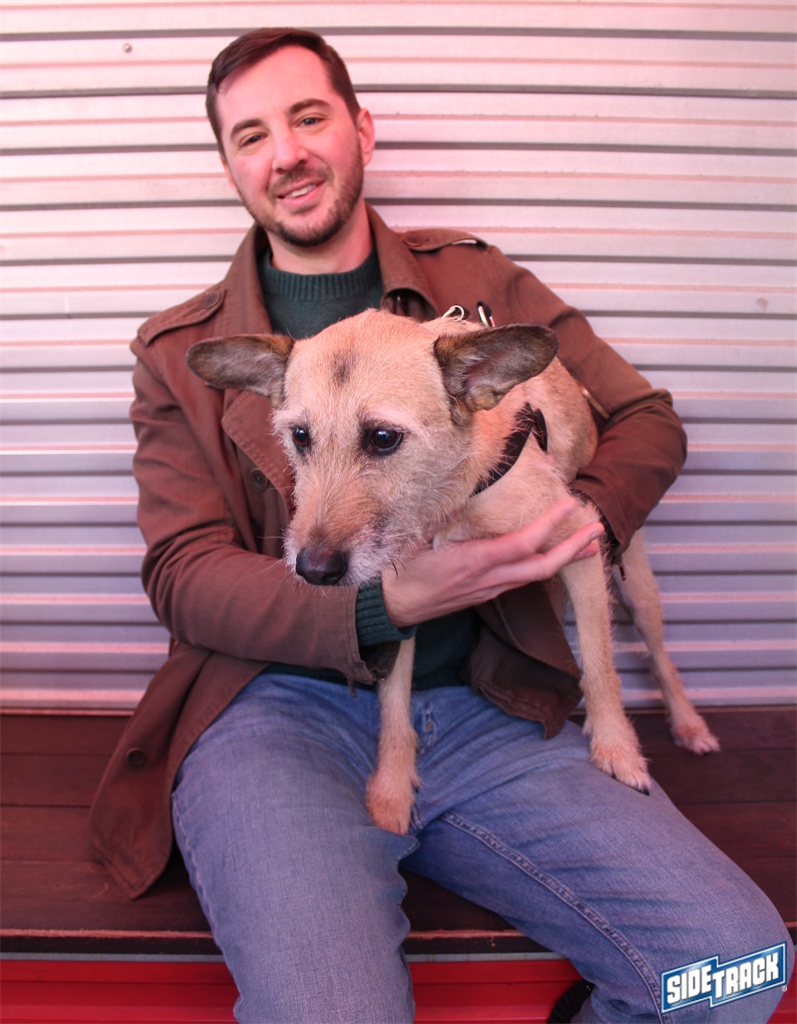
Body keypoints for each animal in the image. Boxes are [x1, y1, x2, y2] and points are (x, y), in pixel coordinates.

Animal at [187, 307, 720, 833]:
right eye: (300, 436)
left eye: (383, 438)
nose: (314, 570)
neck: (448, 497)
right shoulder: (396, 603)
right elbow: (394, 702)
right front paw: (392, 788)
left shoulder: (580, 539)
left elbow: (600, 663)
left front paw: (617, 750)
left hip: (637, 589)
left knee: (658, 654)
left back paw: (689, 724)